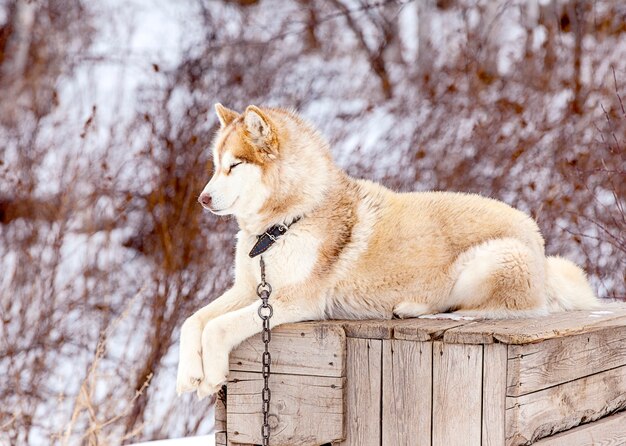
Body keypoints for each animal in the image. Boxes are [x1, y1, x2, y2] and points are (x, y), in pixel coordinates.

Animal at [174, 103, 596, 398]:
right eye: (215, 165)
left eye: (234, 165)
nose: (202, 199)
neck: (284, 224)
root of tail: (538, 240)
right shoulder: (249, 290)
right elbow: (193, 321)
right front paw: (189, 374)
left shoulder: (295, 302)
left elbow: (217, 327)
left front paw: (211, 376)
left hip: (487, 262)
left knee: (484, 310)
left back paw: (418, 310)